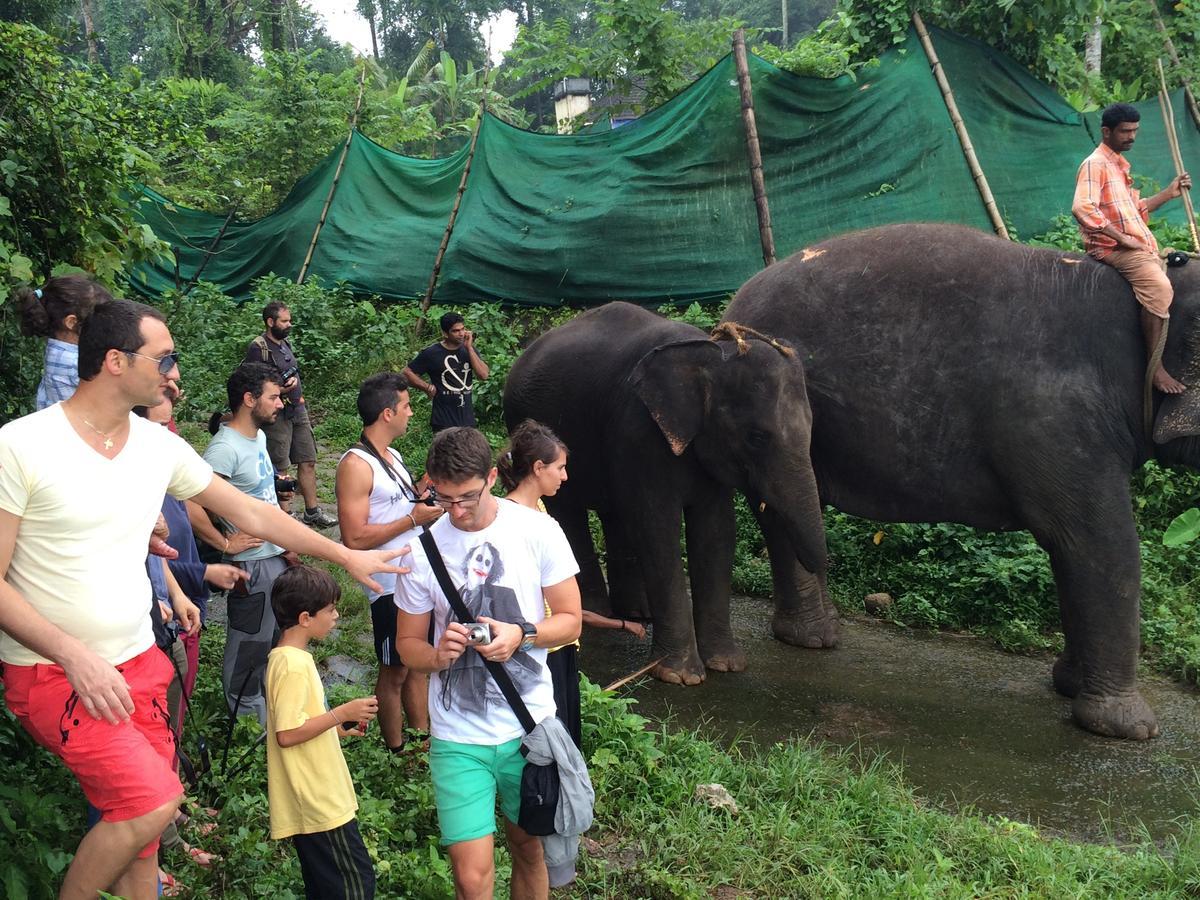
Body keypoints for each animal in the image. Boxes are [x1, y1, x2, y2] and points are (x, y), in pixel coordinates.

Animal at [724, 222, 1200, 744]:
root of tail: (734, 304)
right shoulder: (1058, 418)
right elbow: (1102, 545)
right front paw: (1130, 731)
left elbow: (1071, 551)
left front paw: (1069, 687)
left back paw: (813, 638)